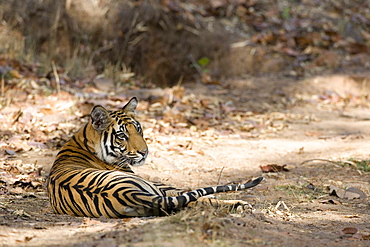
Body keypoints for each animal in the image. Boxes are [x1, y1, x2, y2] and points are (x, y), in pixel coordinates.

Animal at [47, 96, 264, 218]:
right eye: (122, 136)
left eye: (138, 129)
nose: (144, 152)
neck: (83, 139)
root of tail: (129, 193)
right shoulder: (162, 186)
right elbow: (190, 192)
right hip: (155, 189)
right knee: (194, 200)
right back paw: (240, 205)